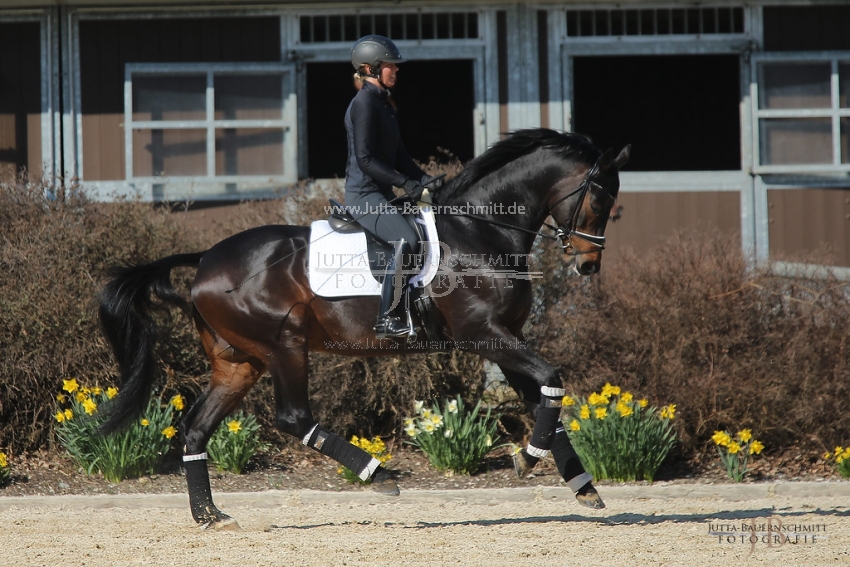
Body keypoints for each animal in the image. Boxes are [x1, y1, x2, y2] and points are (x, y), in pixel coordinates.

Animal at [99, 129, 628, 528]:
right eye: (600, 198)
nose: (588, 265)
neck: (481, 231)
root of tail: (205, 260)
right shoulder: (486, 334)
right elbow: (552, 380)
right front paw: (529, 458)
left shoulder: (506, 337)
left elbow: (544, 396)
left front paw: (579, 484)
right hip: (285, 344)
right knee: (292, 418)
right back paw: (380, 474)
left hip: (240, 363)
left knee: (195, 429)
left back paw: (209, 515)